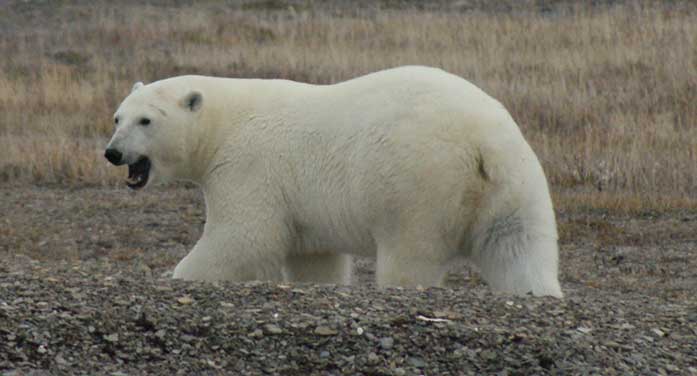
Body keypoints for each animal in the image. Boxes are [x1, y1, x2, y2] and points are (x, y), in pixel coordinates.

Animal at [102, 66, 560, 298]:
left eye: (146, 120)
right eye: (117, 117)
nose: (113, 153)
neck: (224, 123)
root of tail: (482, 140)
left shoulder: (247, 165)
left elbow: (243, 236)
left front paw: (180, 275)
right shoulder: (303, 207)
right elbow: (314, 256)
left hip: (421, 180)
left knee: (411, 251)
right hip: (515, 181)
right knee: (517, 245)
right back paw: (539, 291)